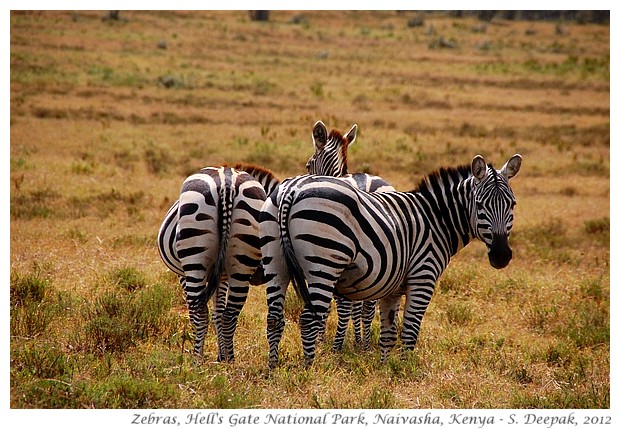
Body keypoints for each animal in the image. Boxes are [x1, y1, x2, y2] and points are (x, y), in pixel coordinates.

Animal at [260, 152, 524, 366]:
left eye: (512, 204)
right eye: (480, 205)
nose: (501, 256)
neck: (436, 219)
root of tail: (291, 190)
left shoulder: (393, 288)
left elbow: (388, 331)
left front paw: (385, 368)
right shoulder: (423, 277)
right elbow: (409, 330)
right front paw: (404, 371)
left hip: (275, 262)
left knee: (274, 318)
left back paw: (273, 368)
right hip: (324, 263)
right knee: (308, 319)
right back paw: (310, 368)